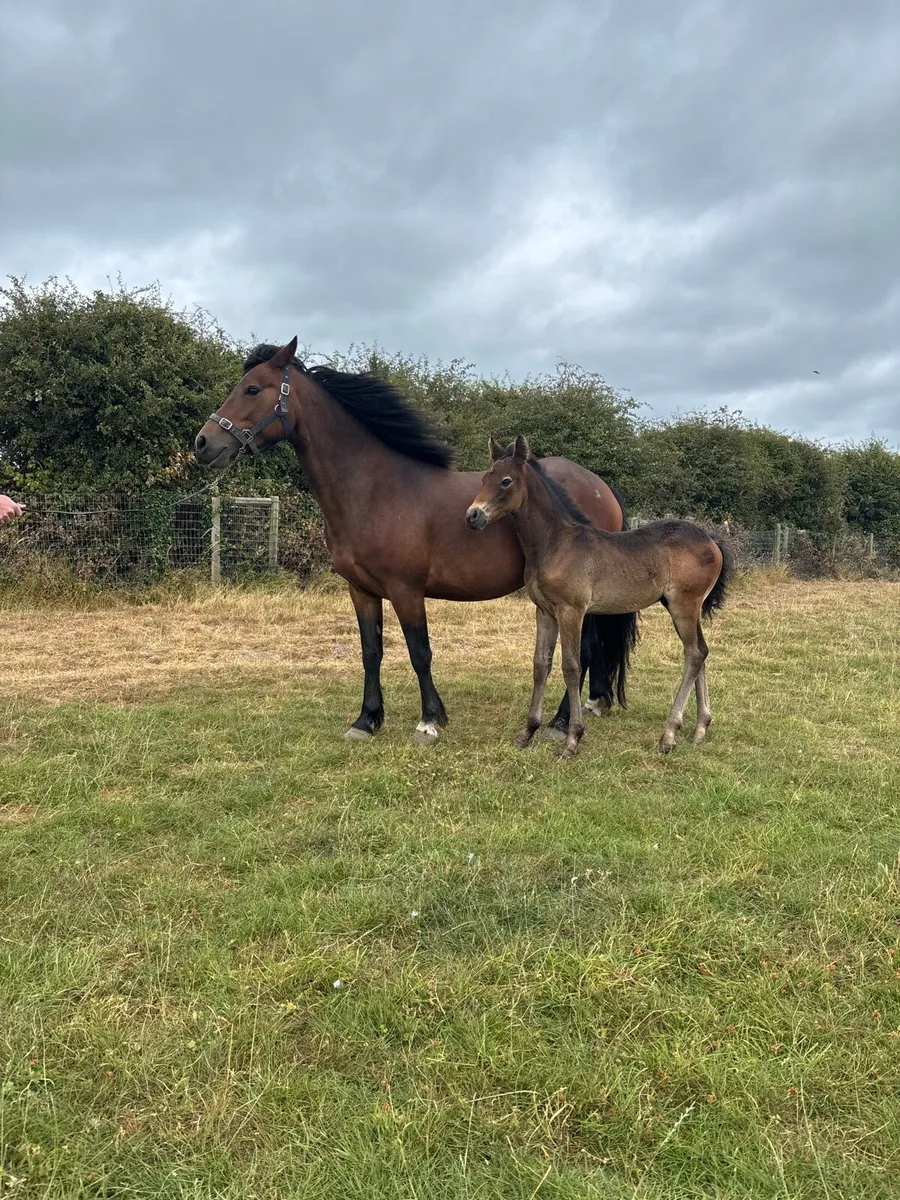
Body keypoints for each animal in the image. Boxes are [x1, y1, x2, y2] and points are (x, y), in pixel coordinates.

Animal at [193, 338, 637, 743]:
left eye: (252, 389)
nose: (203, 443)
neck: (374, 489)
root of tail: (600, 486)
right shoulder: (361, 590)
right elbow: (371, 652)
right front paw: (366, 720)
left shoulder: (406, 590)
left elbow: (420, 652)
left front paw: (429, 721)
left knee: (585, 649)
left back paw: (561, 723)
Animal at [466, 435, 731, 758]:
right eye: (484, 478)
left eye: (506, 481)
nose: (473, 516)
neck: (557, 543)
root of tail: (712, 541)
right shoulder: (544, 611)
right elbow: (541, 665)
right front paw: (527, 732)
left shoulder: (572, 610)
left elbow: (571, 665)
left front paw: (572, 739)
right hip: (683, 607)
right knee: (702, 652)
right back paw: (700, 728)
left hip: (684, 605)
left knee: (694, 654)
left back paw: (669, 734)